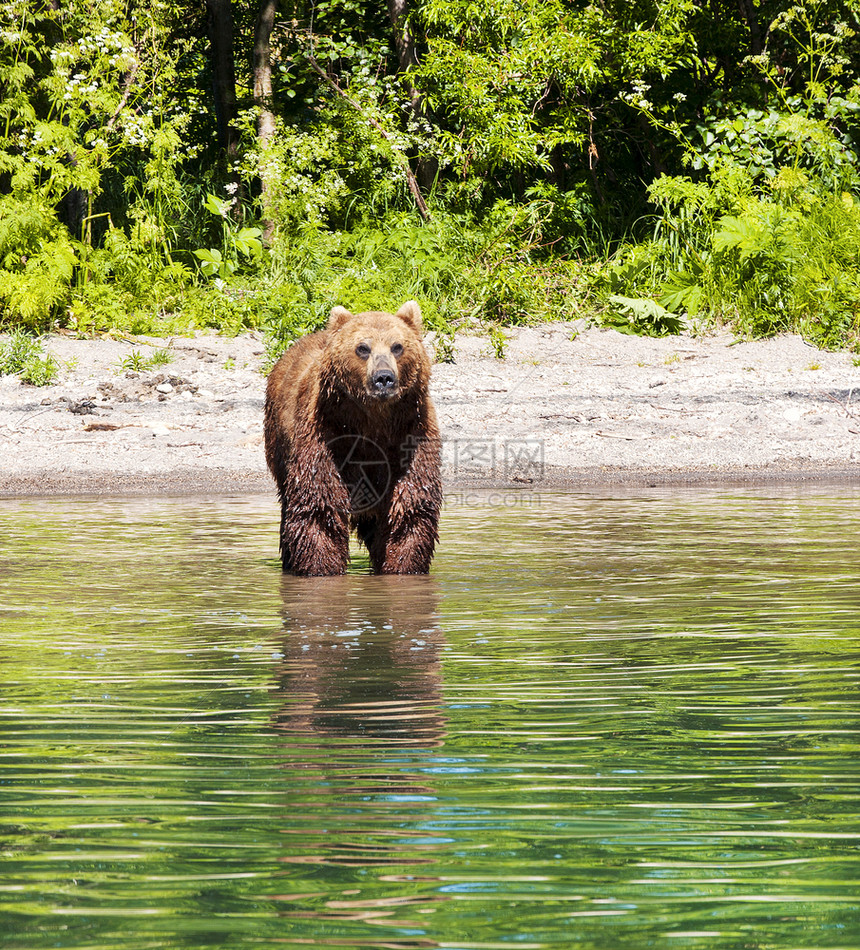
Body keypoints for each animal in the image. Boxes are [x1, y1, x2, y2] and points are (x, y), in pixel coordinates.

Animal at [264, 302, 444, 576]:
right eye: (363, 348)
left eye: (397, 346)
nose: (384, 378)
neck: (374, 422)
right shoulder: (327, 435)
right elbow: (320, 506)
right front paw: (322, 568)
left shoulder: (412, 434)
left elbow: (409, 508)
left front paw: (401, 567)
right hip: (279, 443)